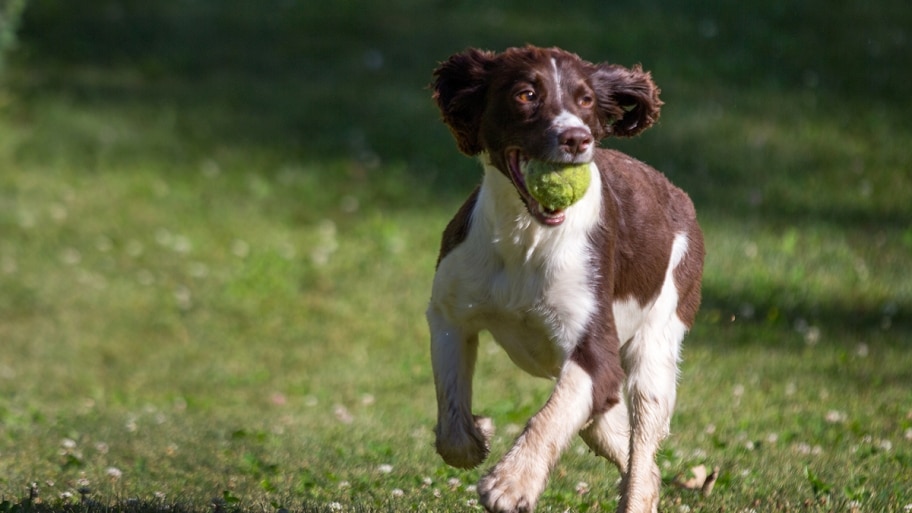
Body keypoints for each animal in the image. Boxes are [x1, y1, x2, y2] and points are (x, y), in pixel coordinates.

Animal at [428, 46, 704, 510]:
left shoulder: (595, 348)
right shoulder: (450, 315)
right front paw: (479, 432)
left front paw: (511, 483)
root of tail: (677, 194)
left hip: (659, 342)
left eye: (586, 100)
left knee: (642, 453)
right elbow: (452, 426)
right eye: (526, 94)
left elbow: (552, 415)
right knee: (615, 436)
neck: (526, 237)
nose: (577, 138)